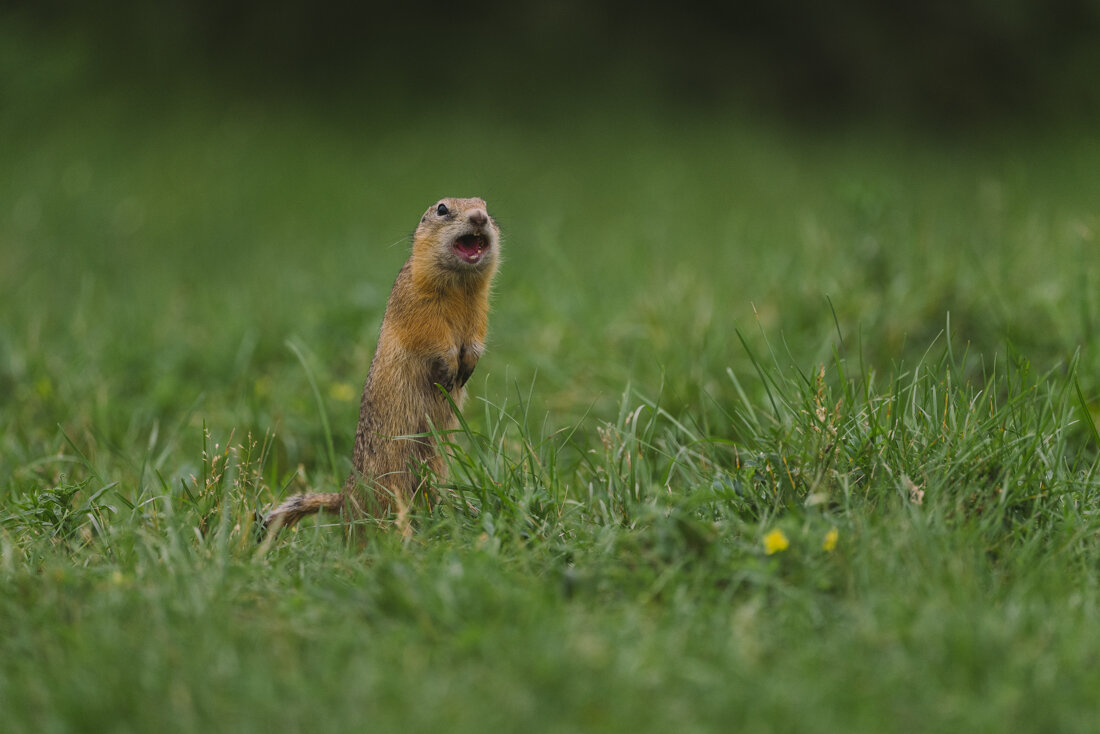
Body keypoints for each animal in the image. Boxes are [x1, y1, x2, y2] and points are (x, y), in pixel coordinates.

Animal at [264, 196, 503, 534]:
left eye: (485, 204)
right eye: (442, 209)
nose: (480, 217)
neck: (461, 286)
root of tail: (345, 497)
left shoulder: (480, 308)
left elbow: (476, 335)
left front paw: (467, 365)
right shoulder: (417, 302)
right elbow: (431, 334)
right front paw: (448, 367)